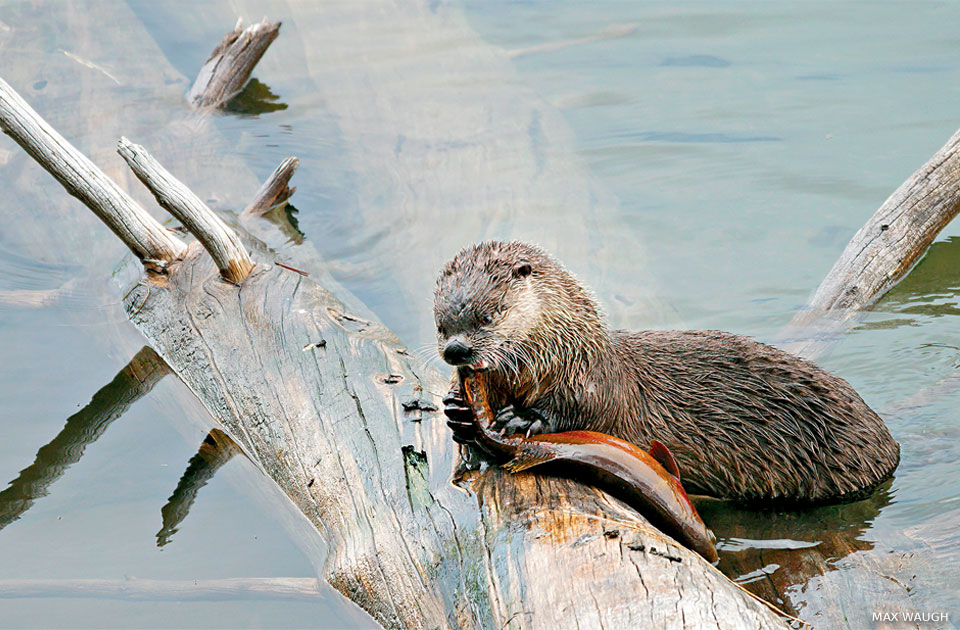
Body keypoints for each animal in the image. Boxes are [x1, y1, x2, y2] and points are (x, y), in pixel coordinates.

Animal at [435, 240, 900, 504]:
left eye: (488, 316)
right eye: (441, 324)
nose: (456, 350)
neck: (566, 354)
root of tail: (890, 445)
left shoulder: (593, 384)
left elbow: (578, 413)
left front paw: (522, 419)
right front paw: (458, 412)